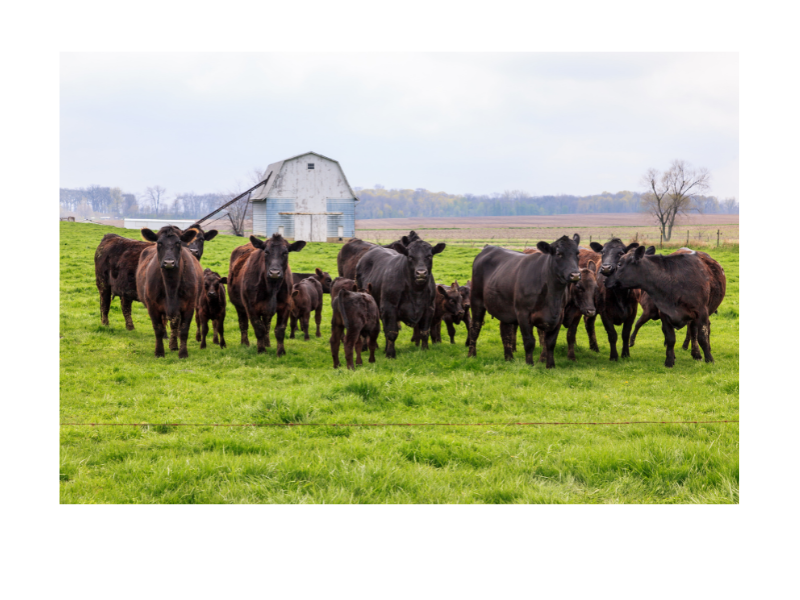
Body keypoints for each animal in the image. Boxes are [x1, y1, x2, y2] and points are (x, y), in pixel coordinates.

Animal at [135, 226, 203, 358]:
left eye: (178, 243)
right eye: (159, 243)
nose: (169, 263)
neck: (171, 286)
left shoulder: (189, 306)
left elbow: (183, 330)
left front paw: (183, 353)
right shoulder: (152, 306)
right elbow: (158, 329)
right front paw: (159, 352)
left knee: (175, 325)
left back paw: (174, 346)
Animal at [468, 235, 581, 368]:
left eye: (577, 253)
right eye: (559, 254)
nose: (575, 275)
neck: (552, 297)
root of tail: (488, 247)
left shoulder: (559, 315)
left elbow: (550, 342)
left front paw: (551, 366)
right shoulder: (523, 313)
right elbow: (529, 341)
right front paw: (529, 364)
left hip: (503, 307)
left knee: (505, 331)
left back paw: (509, 358)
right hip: (476, 300)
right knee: (475, 327)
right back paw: (471, 355)